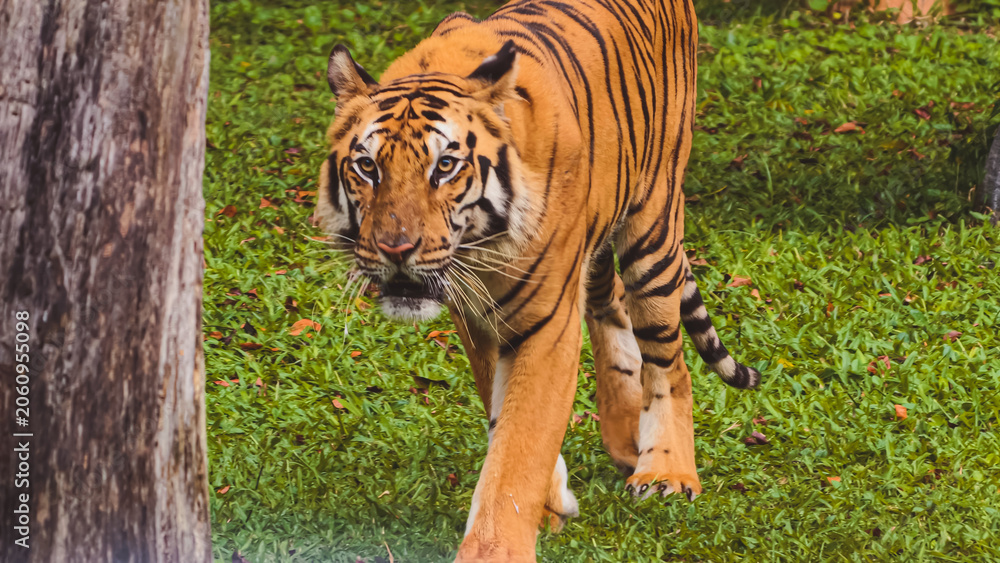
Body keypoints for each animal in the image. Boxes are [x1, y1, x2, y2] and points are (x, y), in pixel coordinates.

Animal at [316, 0, 761, 560]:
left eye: (445, 166)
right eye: (367, 167)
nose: (396, 250)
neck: (481, 251)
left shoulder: (545, 324)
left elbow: (520, 446)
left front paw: (499, 544)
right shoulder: (477, 321)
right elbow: (502, 415)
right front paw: (553, 499)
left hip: (653, 228)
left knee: (668, 362)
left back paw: (666, 472)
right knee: (611, 303)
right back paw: (626, 436)